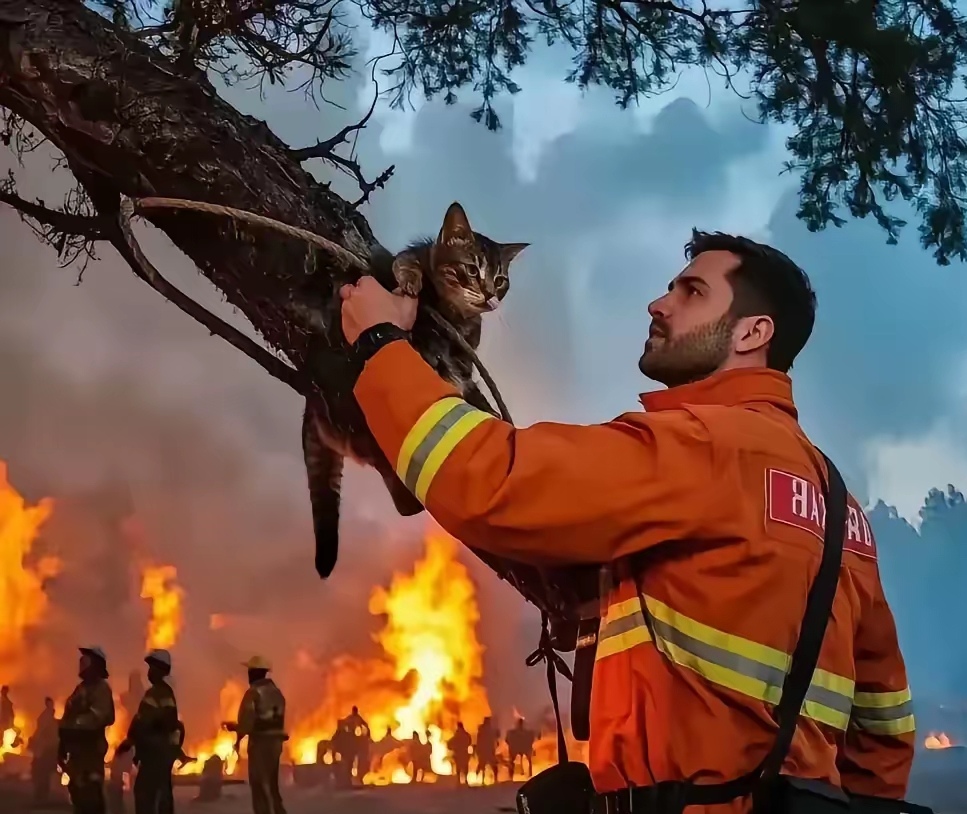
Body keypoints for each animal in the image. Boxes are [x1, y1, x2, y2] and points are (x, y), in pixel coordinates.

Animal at [302, 203, 528, 580]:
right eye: (471, 269)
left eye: (501, 280)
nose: (489, 295)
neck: (456, 314)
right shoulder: (410, 258)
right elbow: (405, 262)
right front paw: (411, 280)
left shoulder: (464, 358)